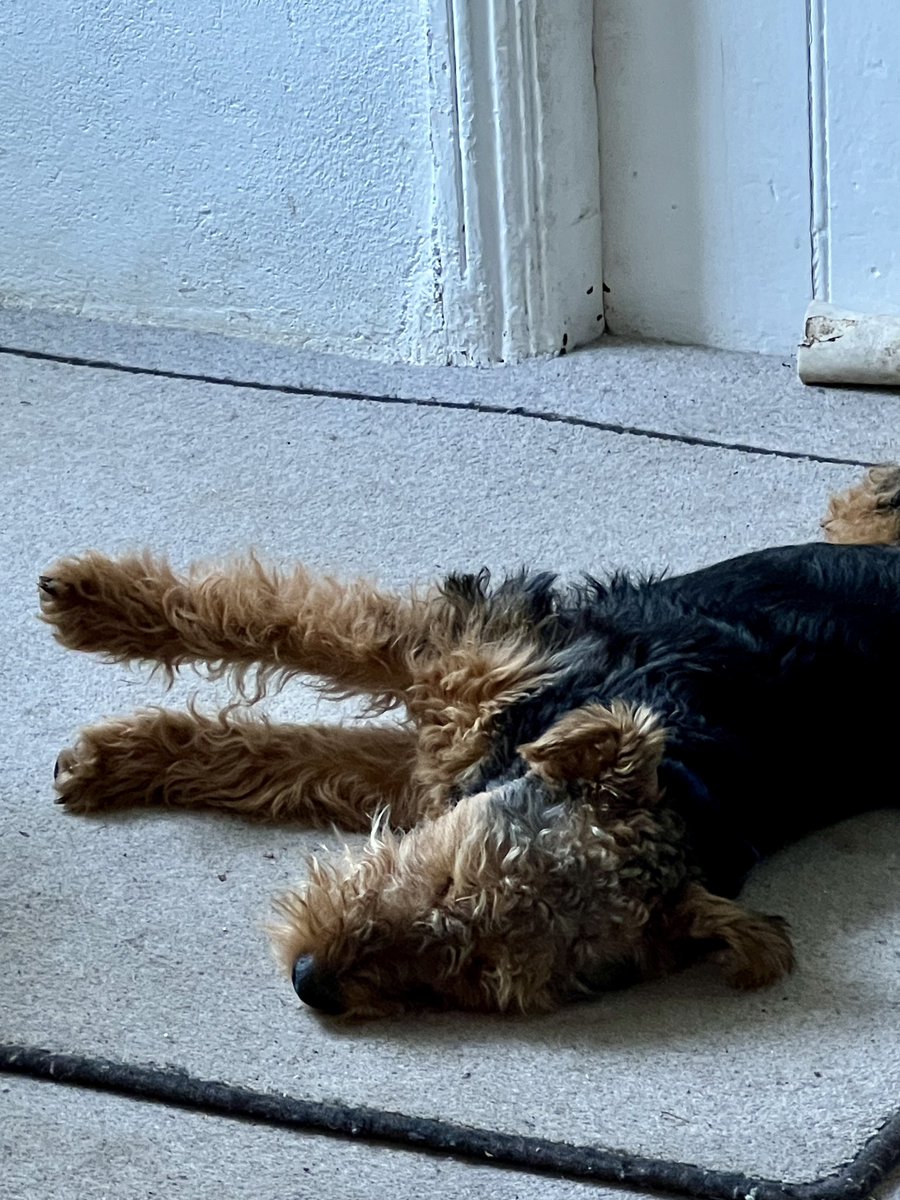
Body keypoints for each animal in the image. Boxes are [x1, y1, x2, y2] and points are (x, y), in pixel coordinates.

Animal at [38, 463, 900, 1017]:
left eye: (484, 974)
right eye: (454, 878)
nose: (312, 981)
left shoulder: (433, 767)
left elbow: (276, 759)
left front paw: (113, 756)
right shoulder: (462, 654)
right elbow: (272, 616)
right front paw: (91, 603)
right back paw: (871, 489)